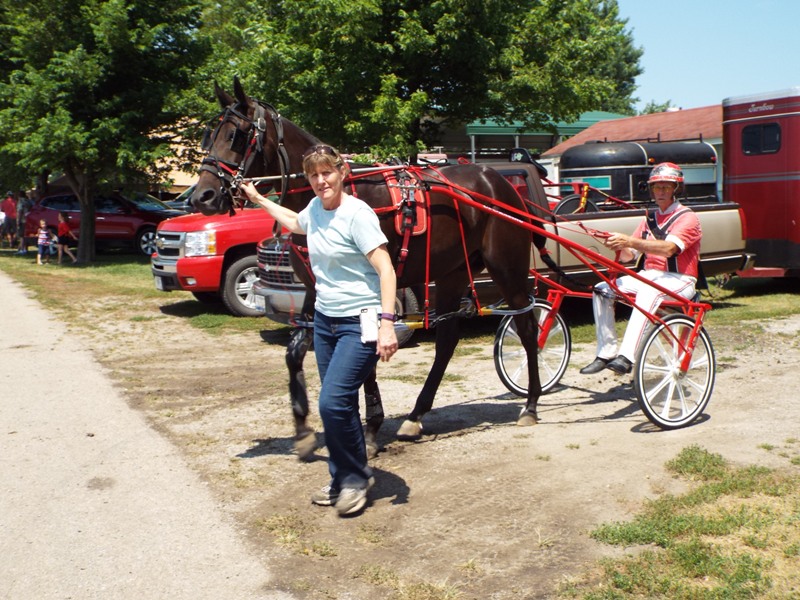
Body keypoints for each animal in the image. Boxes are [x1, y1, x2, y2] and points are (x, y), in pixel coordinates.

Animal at [190, 78, 542, 457]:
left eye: (237, 135)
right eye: (208, 136)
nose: (202, 197)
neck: (331, 200)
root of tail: (499, 182)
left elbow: (364, 358)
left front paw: (370, 430)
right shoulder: (317, 292)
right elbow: (295, 352)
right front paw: (304, 428)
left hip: (507, 269)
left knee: (526, 327)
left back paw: (531, 403)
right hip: (452, 273)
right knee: (447, 341)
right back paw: (416, 415)